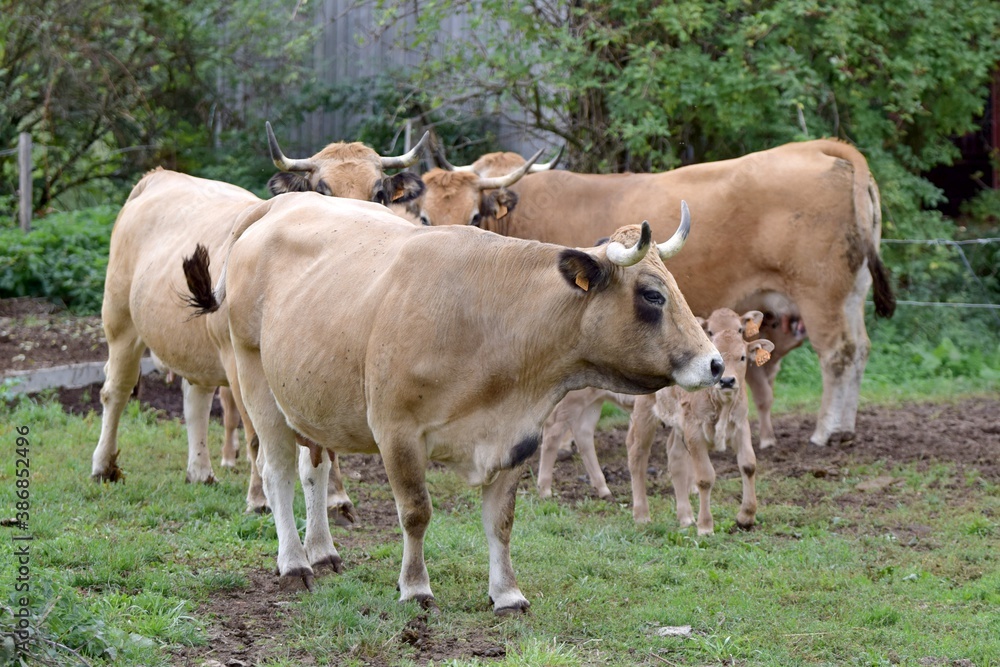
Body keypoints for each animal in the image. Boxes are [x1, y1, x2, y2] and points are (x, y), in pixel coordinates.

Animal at [88, 124, 424, 520]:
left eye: (379, 192)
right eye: (322, 190)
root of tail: (159, 176)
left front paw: (336, 497)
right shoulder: (242, 363)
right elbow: (254, 434)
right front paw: (258, 496)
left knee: (194, 397)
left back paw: (200, 470)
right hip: (120, 321)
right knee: (116, 390)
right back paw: (103, 466)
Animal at [182, 192, 728, 612]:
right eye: (653, 295)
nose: (716, 365)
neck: (489, 315)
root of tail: (280, 203)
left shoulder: (517, 436)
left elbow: (501, 522)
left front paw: (506, 594)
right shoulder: (397, 432)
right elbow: (416, 513)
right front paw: (415, 588)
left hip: (311, 399)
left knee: (312, 468)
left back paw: (322, 551)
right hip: (256, 385)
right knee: (276, 472)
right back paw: (294, 562)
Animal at [426, 140, 896, 448]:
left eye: (474, 213)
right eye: (427, 215)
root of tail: (820, 148)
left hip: (821, 295)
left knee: (837, 355)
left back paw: (825, 431)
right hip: (850, 295)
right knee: (860, 351)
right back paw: (844, 427)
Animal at [628, 318, 776, 536]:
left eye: (742, 357)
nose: (726, 381)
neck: (722, 404)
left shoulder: (741, 425)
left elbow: (748, 465)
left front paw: (746, 517)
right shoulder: (695, 431)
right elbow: (705, 478)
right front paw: (705, 526)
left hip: (679, 425)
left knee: (676, 459)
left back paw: (685, 517)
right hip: (644, 411)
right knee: (637, 456)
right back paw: (641, 515)